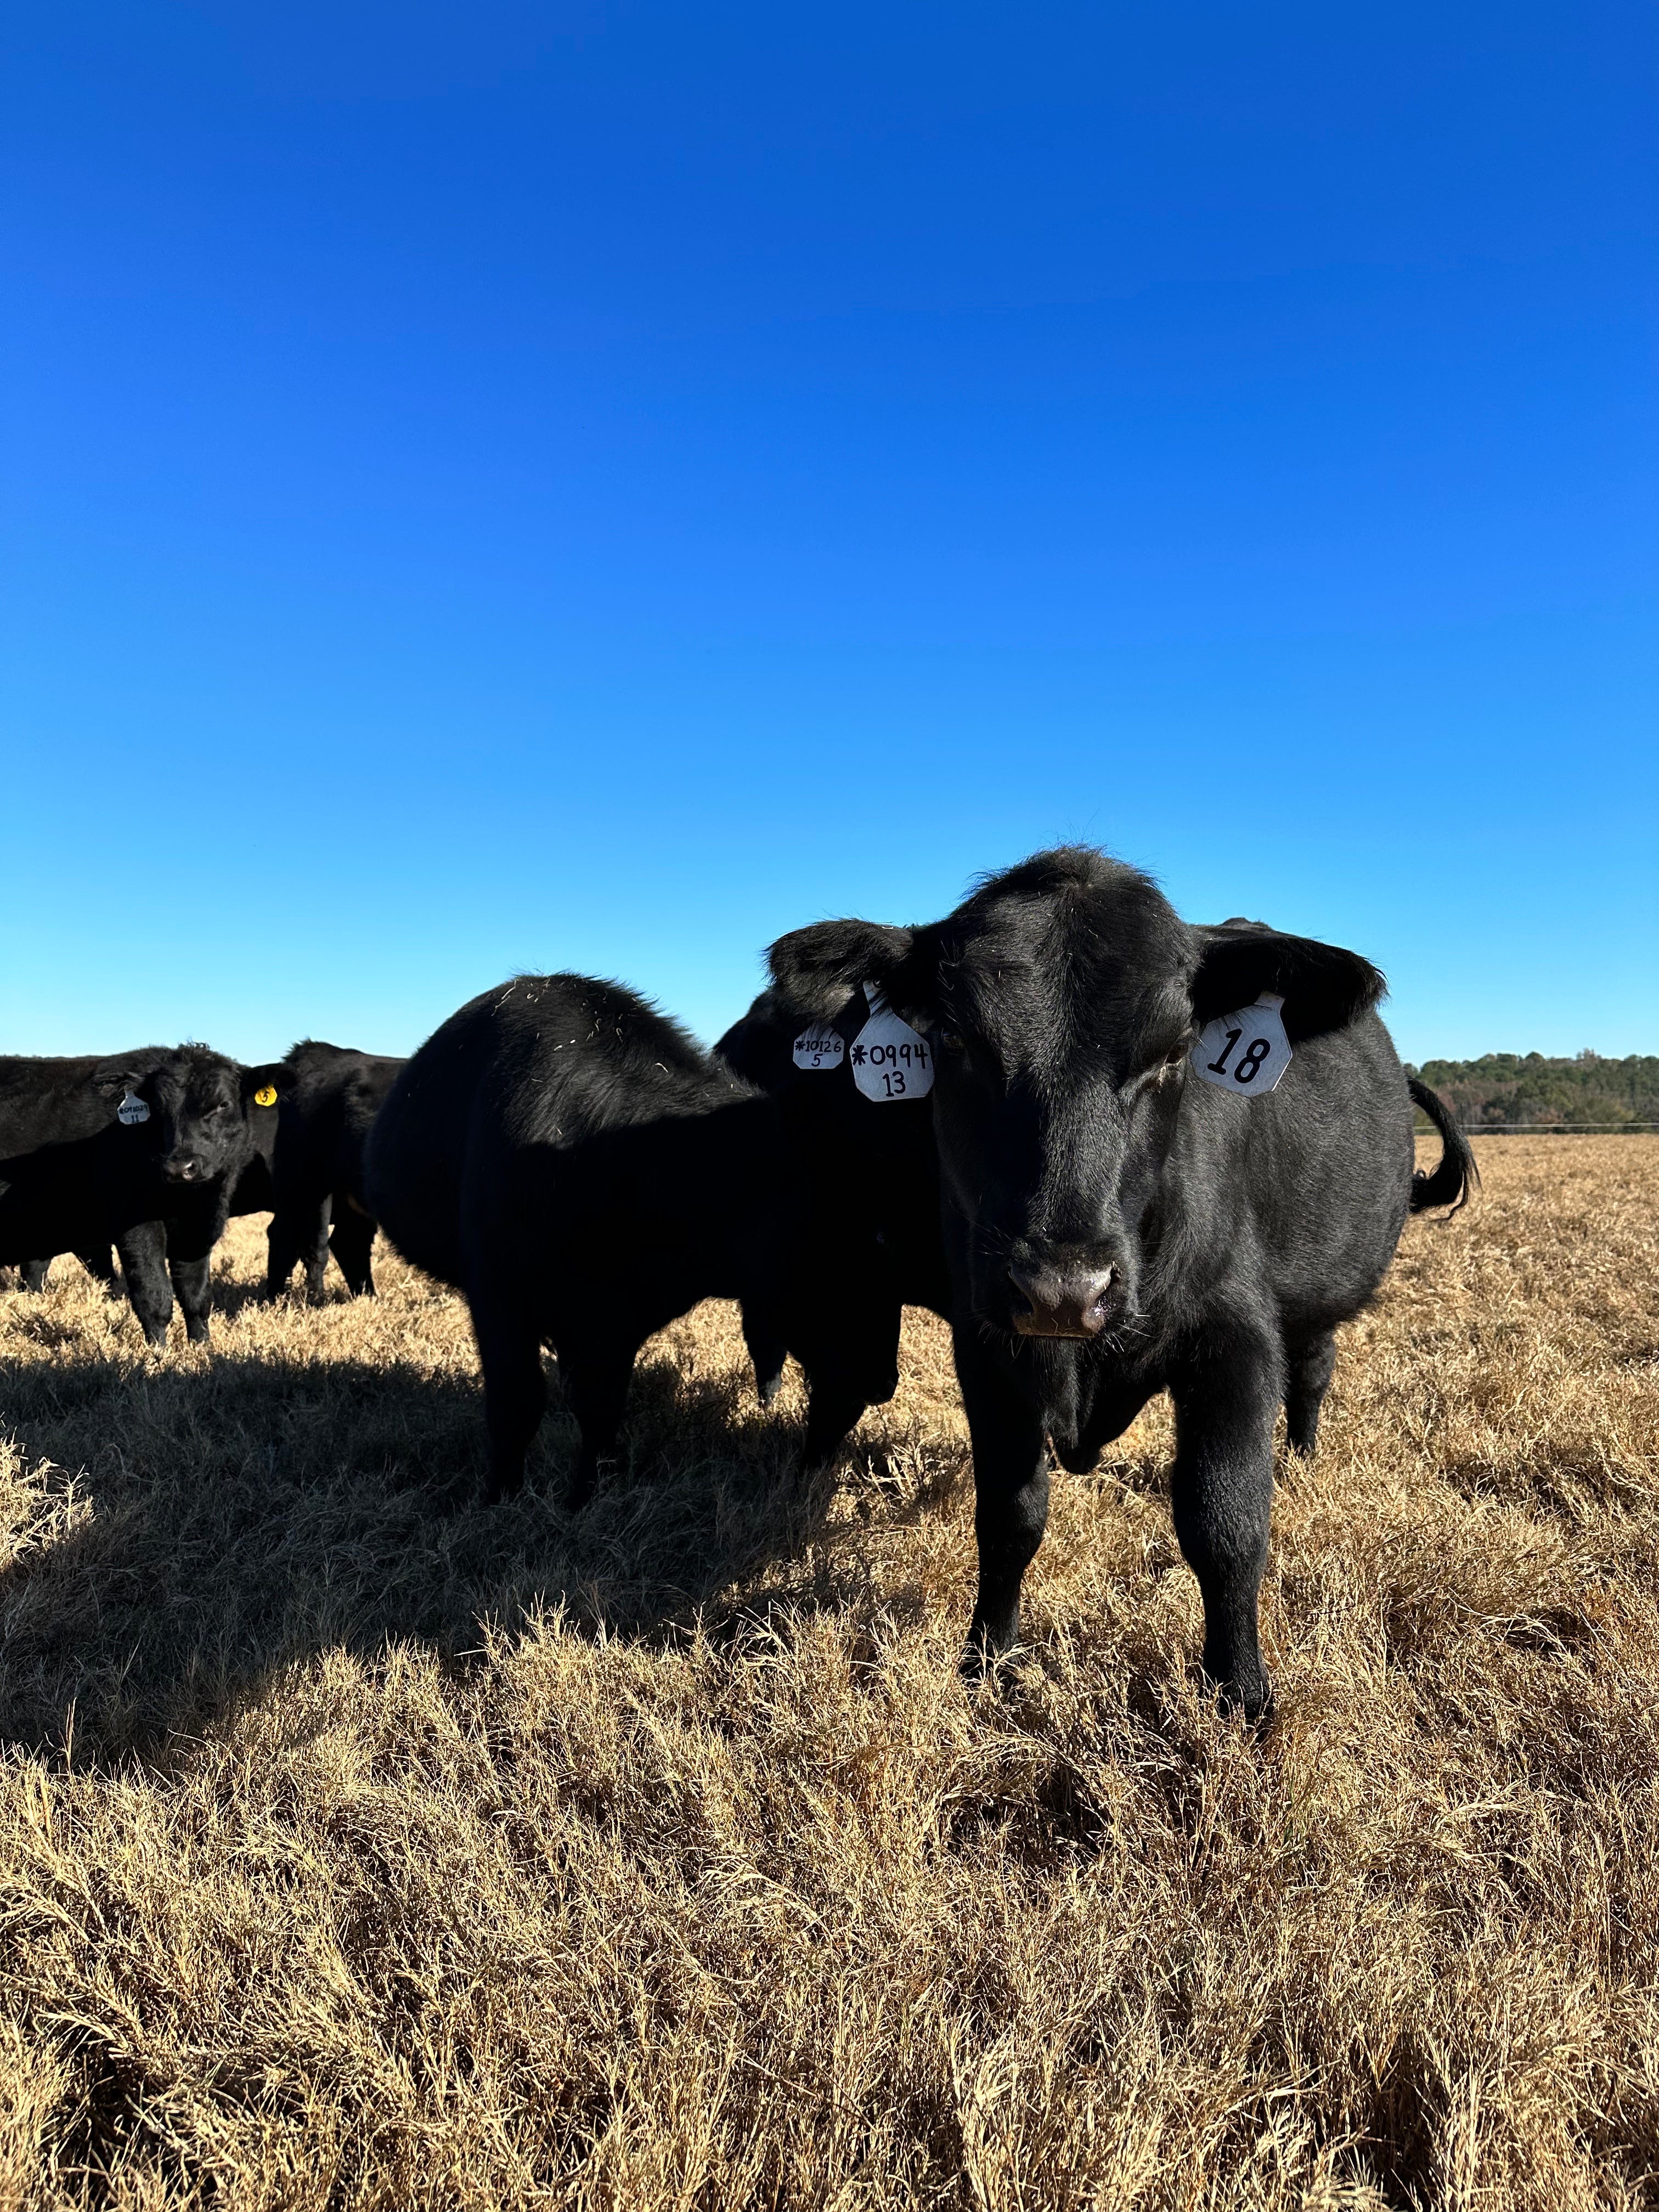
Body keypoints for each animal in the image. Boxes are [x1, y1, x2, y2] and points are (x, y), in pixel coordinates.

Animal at [0, 1048, 292, 1345]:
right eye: (157, 1109)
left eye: (223, 1104)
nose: (180, 1167)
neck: (191, 1202)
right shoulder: (136, 1226)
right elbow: (154, 1295)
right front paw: (158, 1352)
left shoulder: (198, 1229)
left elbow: (196, 1296)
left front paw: (202, 1345)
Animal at [369, 969, 800, 1504]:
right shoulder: (497, 1295)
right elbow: (517, 1403)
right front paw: (501, 1497)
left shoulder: (618, 1317)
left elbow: (601, 1405)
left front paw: (588, 1493)